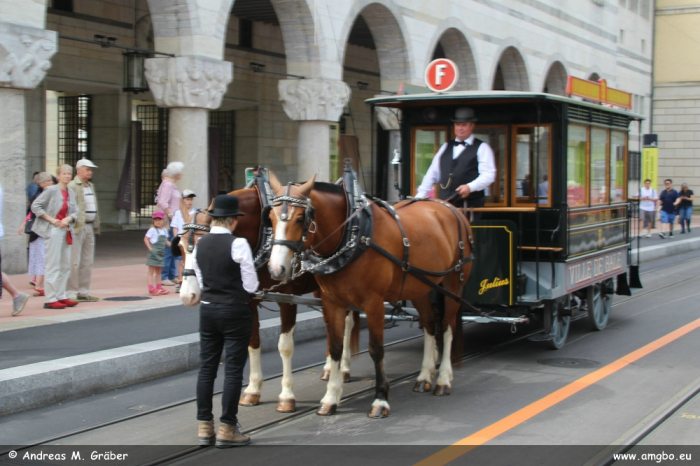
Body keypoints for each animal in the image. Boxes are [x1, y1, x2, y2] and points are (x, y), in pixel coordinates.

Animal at [178, 186, 358, 412]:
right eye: (180, 246)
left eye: (204, 243)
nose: (188, 295)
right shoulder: (250, 300)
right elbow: (253, 343)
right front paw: (253, 390)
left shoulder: (287, 299)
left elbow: (285, 346)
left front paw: (287, 396)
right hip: (323, 290)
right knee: (330, 324)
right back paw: (328, 369)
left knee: (347, 324)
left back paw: (344, 369)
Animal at [266, 173, 474, 416]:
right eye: (269, 217)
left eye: (300, 219)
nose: (276, 269)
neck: (353, 235)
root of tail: (451, 208)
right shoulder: (332, 302)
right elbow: (335, 347)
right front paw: (330, 398)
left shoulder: (374, 303)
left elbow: (376, 349)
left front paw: (380, 399)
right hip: (420, 285)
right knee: (430, 324)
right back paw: (424, 376)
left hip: (453, 284)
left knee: (448, 327)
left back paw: (443, 380)